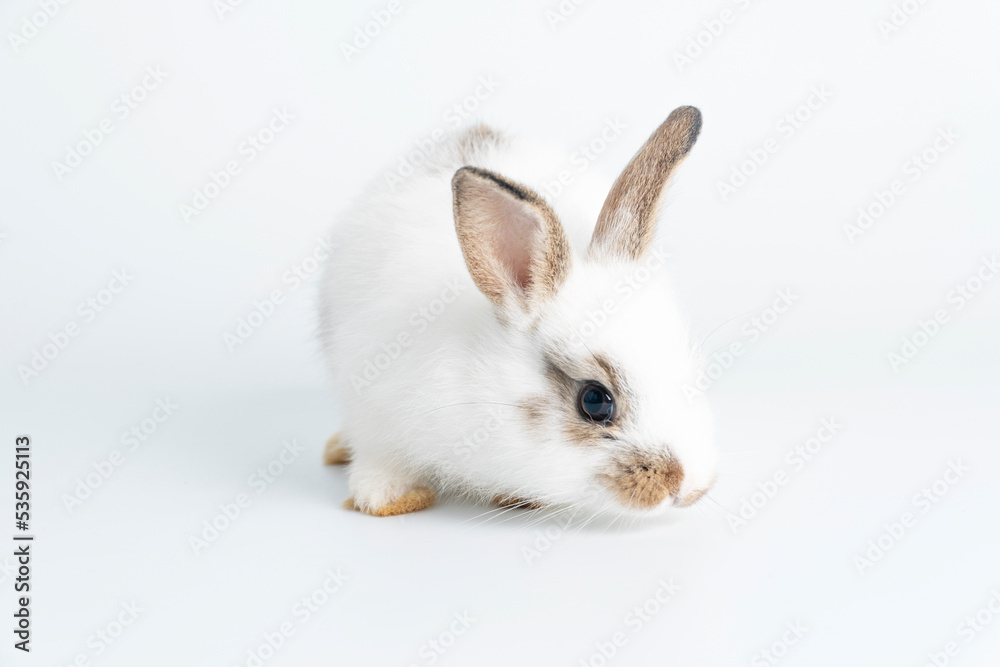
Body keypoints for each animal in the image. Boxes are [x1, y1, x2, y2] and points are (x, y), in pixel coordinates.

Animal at [316, 107, 716, 520]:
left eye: (692, 374)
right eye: (595, 401)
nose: (687, 485)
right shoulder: (373, 404)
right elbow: (379, 459)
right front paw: (388, 497)